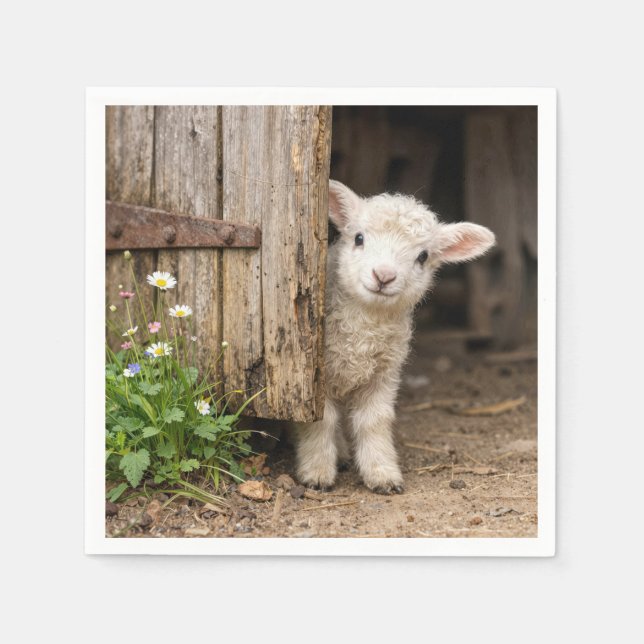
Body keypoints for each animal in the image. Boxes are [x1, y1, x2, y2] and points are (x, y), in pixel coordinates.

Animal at [294, 180, 495, 494]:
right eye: (359, 238)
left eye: (423, 256)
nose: (384, 276)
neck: (365, 326)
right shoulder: (316, 377)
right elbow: (321, 421)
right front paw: (316, 472)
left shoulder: (385, 373)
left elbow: (375, 422)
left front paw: (382, 473)